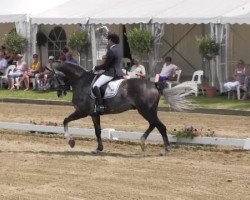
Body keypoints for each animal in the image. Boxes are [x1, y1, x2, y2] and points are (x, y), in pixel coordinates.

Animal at [53, 62, 193, 155]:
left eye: (52, 75)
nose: (60, 93)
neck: (80, 81)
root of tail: (154, 84)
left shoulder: (82, 112)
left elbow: (65, 120)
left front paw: (71, 142)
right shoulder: (94, 114)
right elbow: (97, 131)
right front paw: (99, 149)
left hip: (146, 110)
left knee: (160, 126)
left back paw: (165, 149)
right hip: (148, 111)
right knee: (154, 124)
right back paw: (143, 143)